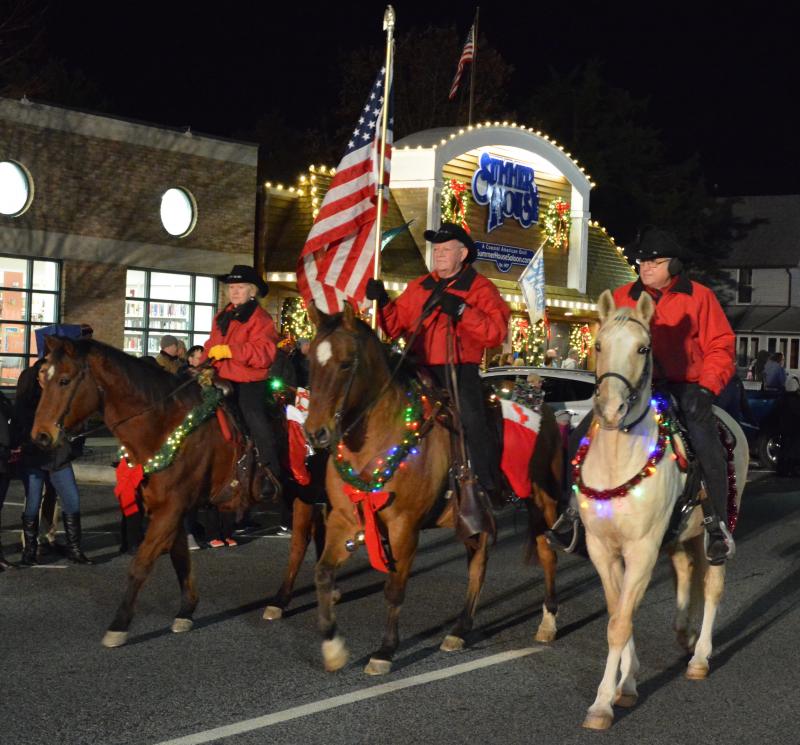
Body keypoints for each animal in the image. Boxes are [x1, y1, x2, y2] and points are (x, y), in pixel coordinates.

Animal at [30, 338, 318, 644]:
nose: (41, 436)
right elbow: (180, 559)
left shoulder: (171, 509)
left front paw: (119, 624)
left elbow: (141, 564)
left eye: (64, 380)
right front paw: (186, 611)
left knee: (299, 544)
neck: (166, 426)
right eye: (42, 377)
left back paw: (281, 600)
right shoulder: (172, 508)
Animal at [304, 306, 564, 676]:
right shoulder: (343, 519)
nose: (316, 433)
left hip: (541, 500)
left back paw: (548, 623)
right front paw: (333, 647)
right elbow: (323, 574)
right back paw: (460, 629)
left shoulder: (404, 527)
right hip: (474, 516)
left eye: (346, 363)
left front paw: (385, 651)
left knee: (546, 554)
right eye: (311, 360)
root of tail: (543, 405)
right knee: (479, 562)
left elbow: (394, 588)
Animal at [580, 290, 748, 728]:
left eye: (643, 348)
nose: (611, 410)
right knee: (686, 571)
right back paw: (684, 634)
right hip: (682, 535)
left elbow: (620, 623)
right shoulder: (602, 549)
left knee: (713, 586)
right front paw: (627, 684)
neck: (620, 460)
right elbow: (619, 614)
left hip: (719, 529)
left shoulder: (641, 549)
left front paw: (602, 703)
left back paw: (700, 656)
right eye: (598, 344)